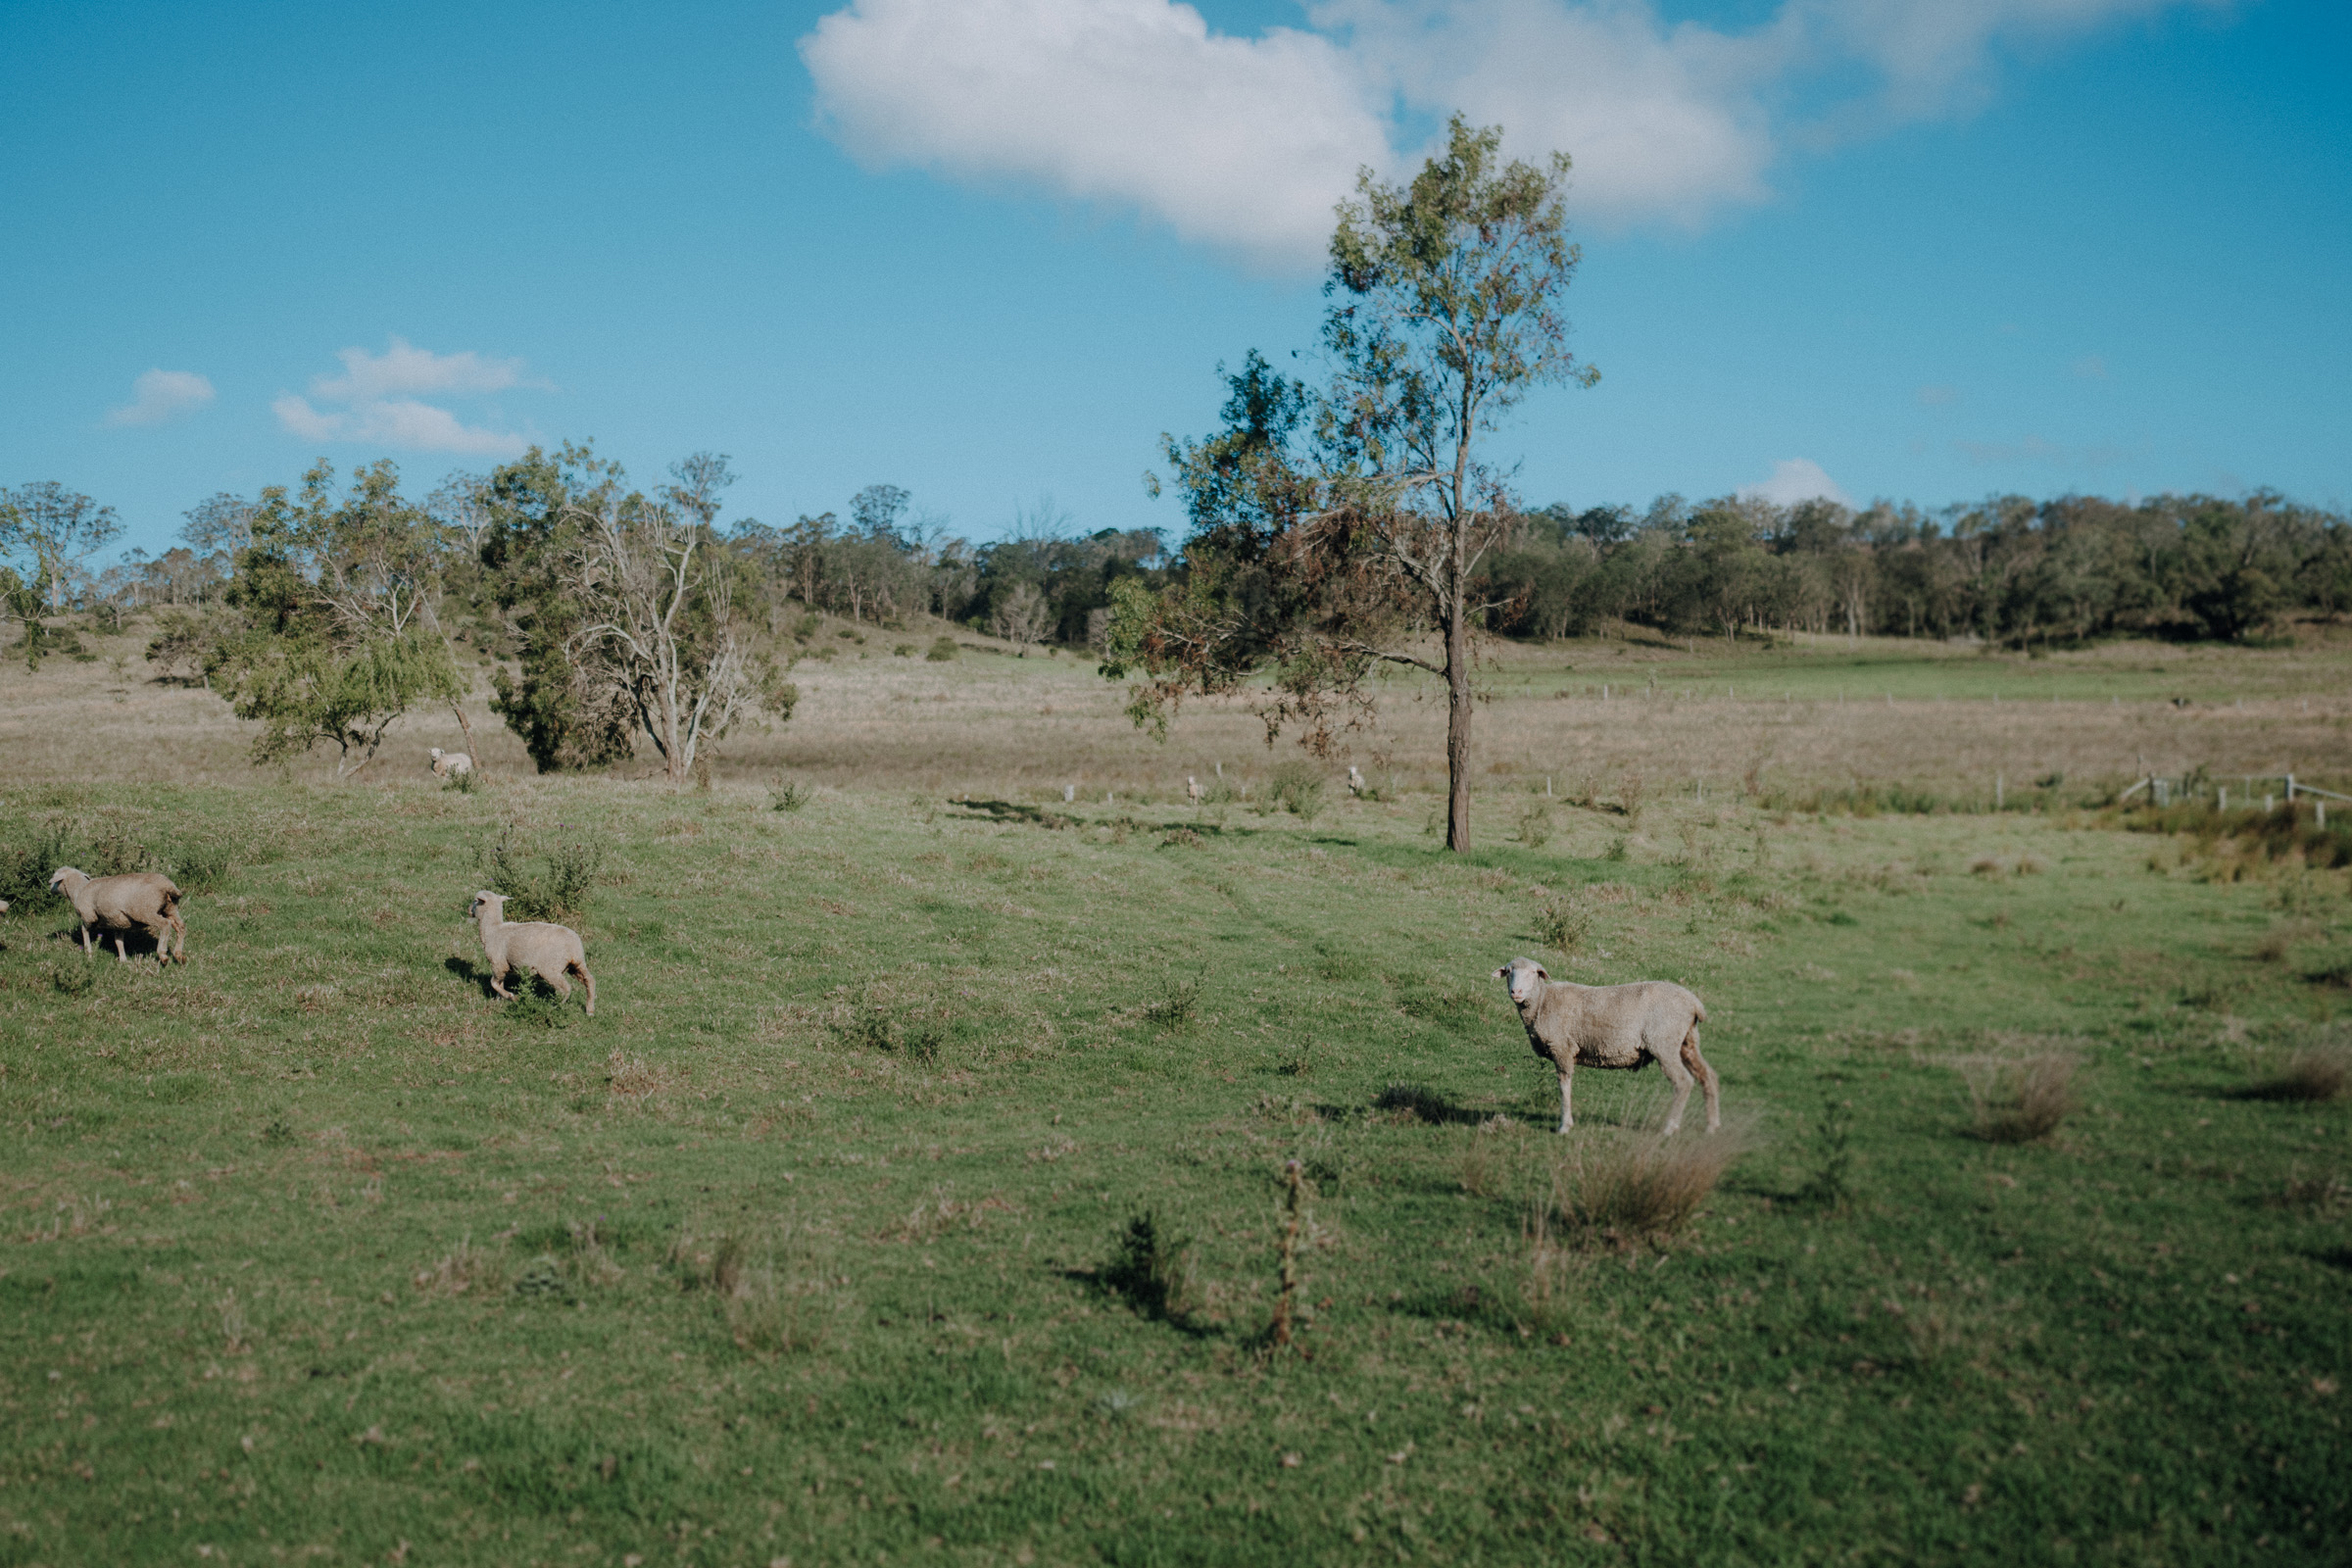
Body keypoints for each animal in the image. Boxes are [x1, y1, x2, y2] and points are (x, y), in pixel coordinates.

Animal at [49, 864, 186, 963]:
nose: (50, 889)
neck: (79, 890)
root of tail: (168, 886)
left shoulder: (89, 916)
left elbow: (84, 930)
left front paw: (88, 952)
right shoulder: (118, 923)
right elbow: (118, 941)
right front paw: (123, 960)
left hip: (145, 911)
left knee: (165, 925)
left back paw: (163, 954)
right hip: (171, 908)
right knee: (181, 927)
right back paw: (179, 955)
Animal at [467, 893, 597, 1020]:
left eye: (475, 900)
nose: (468, 910)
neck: (493, 929)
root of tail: (574, 946)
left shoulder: (498, 964)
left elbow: (494, 983)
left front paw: (511, 996)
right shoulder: (501, 966)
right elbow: (499, 984)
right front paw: (499, 1000)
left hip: (550, 968)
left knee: (565, 988)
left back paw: (556, 1006)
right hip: (577, 964)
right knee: (589, 981)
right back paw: (589, 1010)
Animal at [1495, 950, 1721, 1133]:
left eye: (1533, 973)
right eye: (1509, 972)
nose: (1516, 992)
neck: (1542, 1002)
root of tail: (1694, 1002)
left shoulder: (1562, 1048)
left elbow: (1563, 1086)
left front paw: (1564, 1126)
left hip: (1664, 1043)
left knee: (1683, 1082)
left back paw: (1670, 1128)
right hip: (1687, 1042)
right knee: (1708, 1075)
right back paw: (1711, 1126)